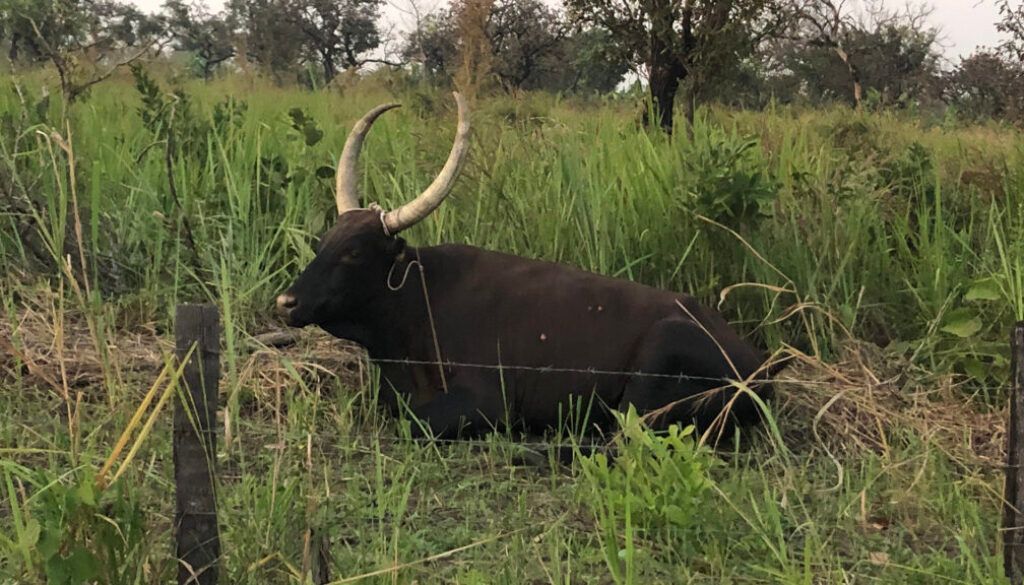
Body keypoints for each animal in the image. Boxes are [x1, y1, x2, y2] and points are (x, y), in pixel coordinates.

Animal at [276, 92, 781, 447]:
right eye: (323, 242)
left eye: (354, 252)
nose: (286, 301)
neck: (419, 303)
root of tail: (763, 367)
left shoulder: (484, 402)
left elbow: (412, 426)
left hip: (657, 360)